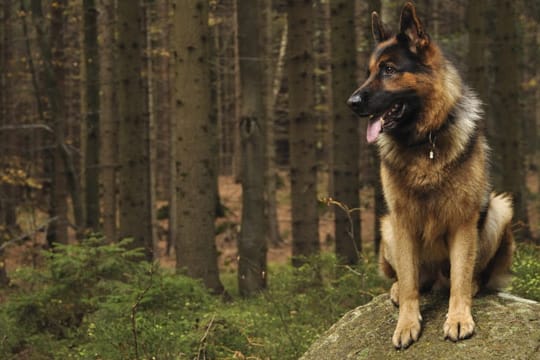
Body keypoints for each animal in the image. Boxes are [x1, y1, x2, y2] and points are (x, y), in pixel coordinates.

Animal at [348, 0, 512, 348]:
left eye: (389, 70)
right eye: (369, 72)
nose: (351, 102)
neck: (425, 142)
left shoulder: (463, 221)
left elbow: (460, 278)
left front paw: (459, 317)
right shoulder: (402, 220)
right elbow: (410, 280)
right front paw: (407, 323)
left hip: (499, 210)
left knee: (465, 277)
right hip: (387, 228)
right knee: (415, 278)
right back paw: (399, 289)